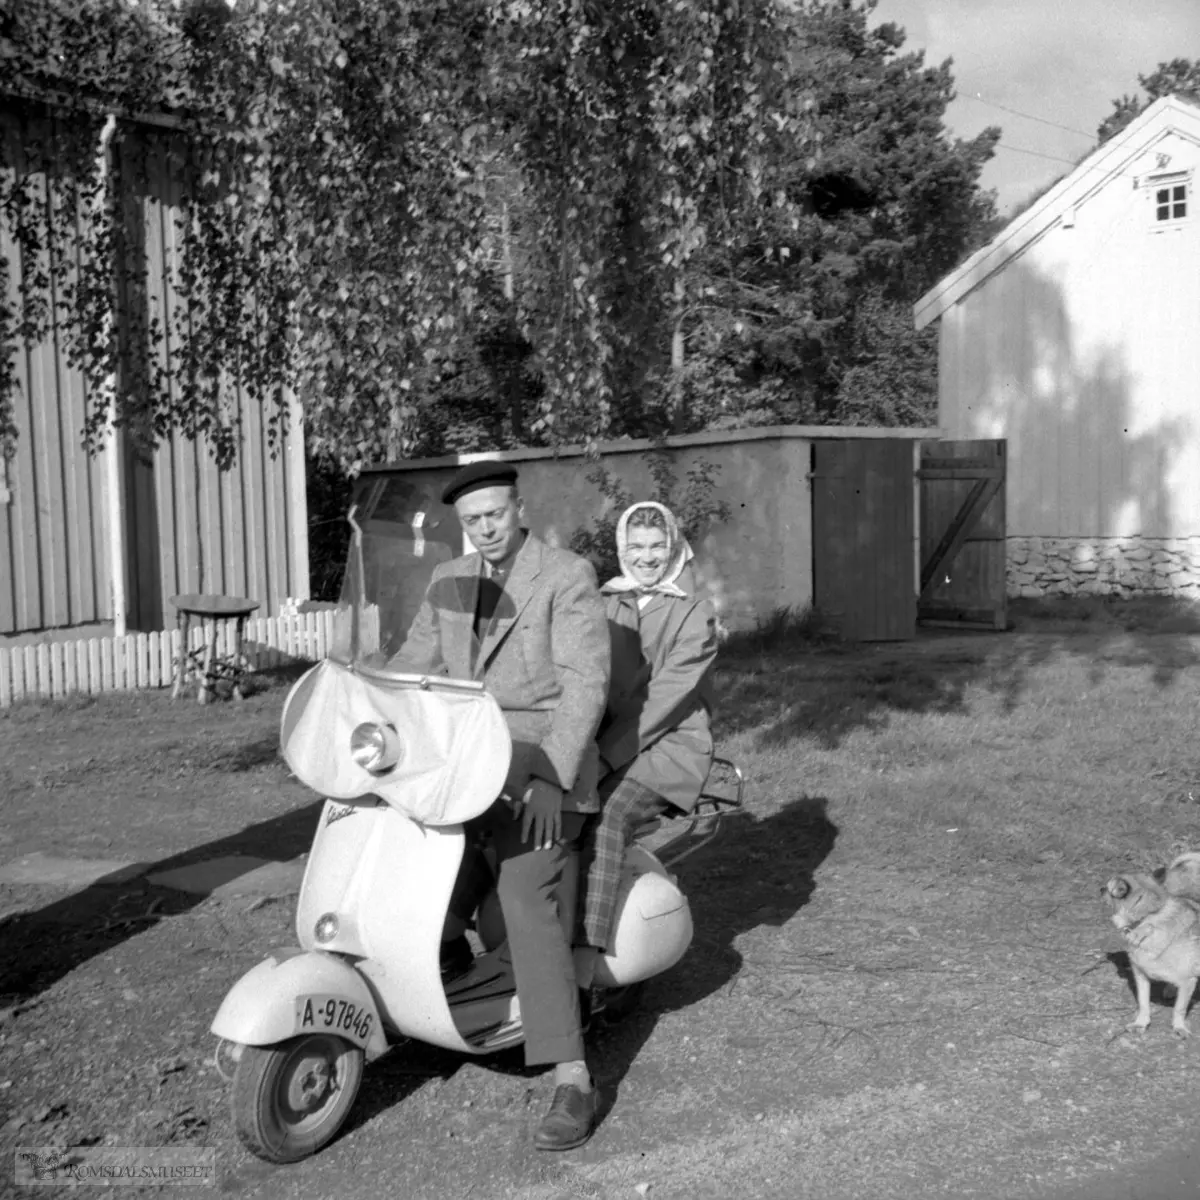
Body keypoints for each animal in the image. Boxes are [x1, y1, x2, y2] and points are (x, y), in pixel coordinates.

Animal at [1099, 868, 1200, 1036]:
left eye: (1108, 888)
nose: (1100, 889)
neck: (1146, 919)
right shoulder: (1141, 977)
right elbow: (1143, 1004)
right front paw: (1141, 1023)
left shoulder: (1188, 981)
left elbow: (1179, 1009)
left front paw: (1179, 1027)